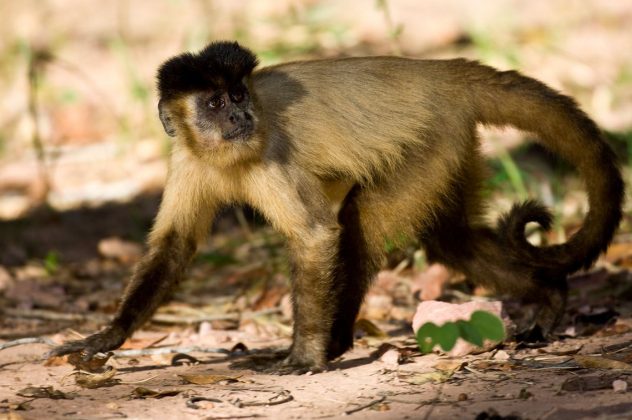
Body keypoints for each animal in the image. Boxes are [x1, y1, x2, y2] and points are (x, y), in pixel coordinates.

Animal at [48, 41, 624, 372]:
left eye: (239, 96)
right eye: (214, 103)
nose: (239, 117)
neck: (226, 155)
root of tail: (443, 74)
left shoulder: (267, 150)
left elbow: (316, 236)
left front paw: (305, 354)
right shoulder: (188, 159)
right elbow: (174, 246)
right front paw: (110, 335)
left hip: (432, 140)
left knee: (361, 226)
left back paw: (334, 344)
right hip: (454, 147)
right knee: (450, 241)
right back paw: (549, 296)